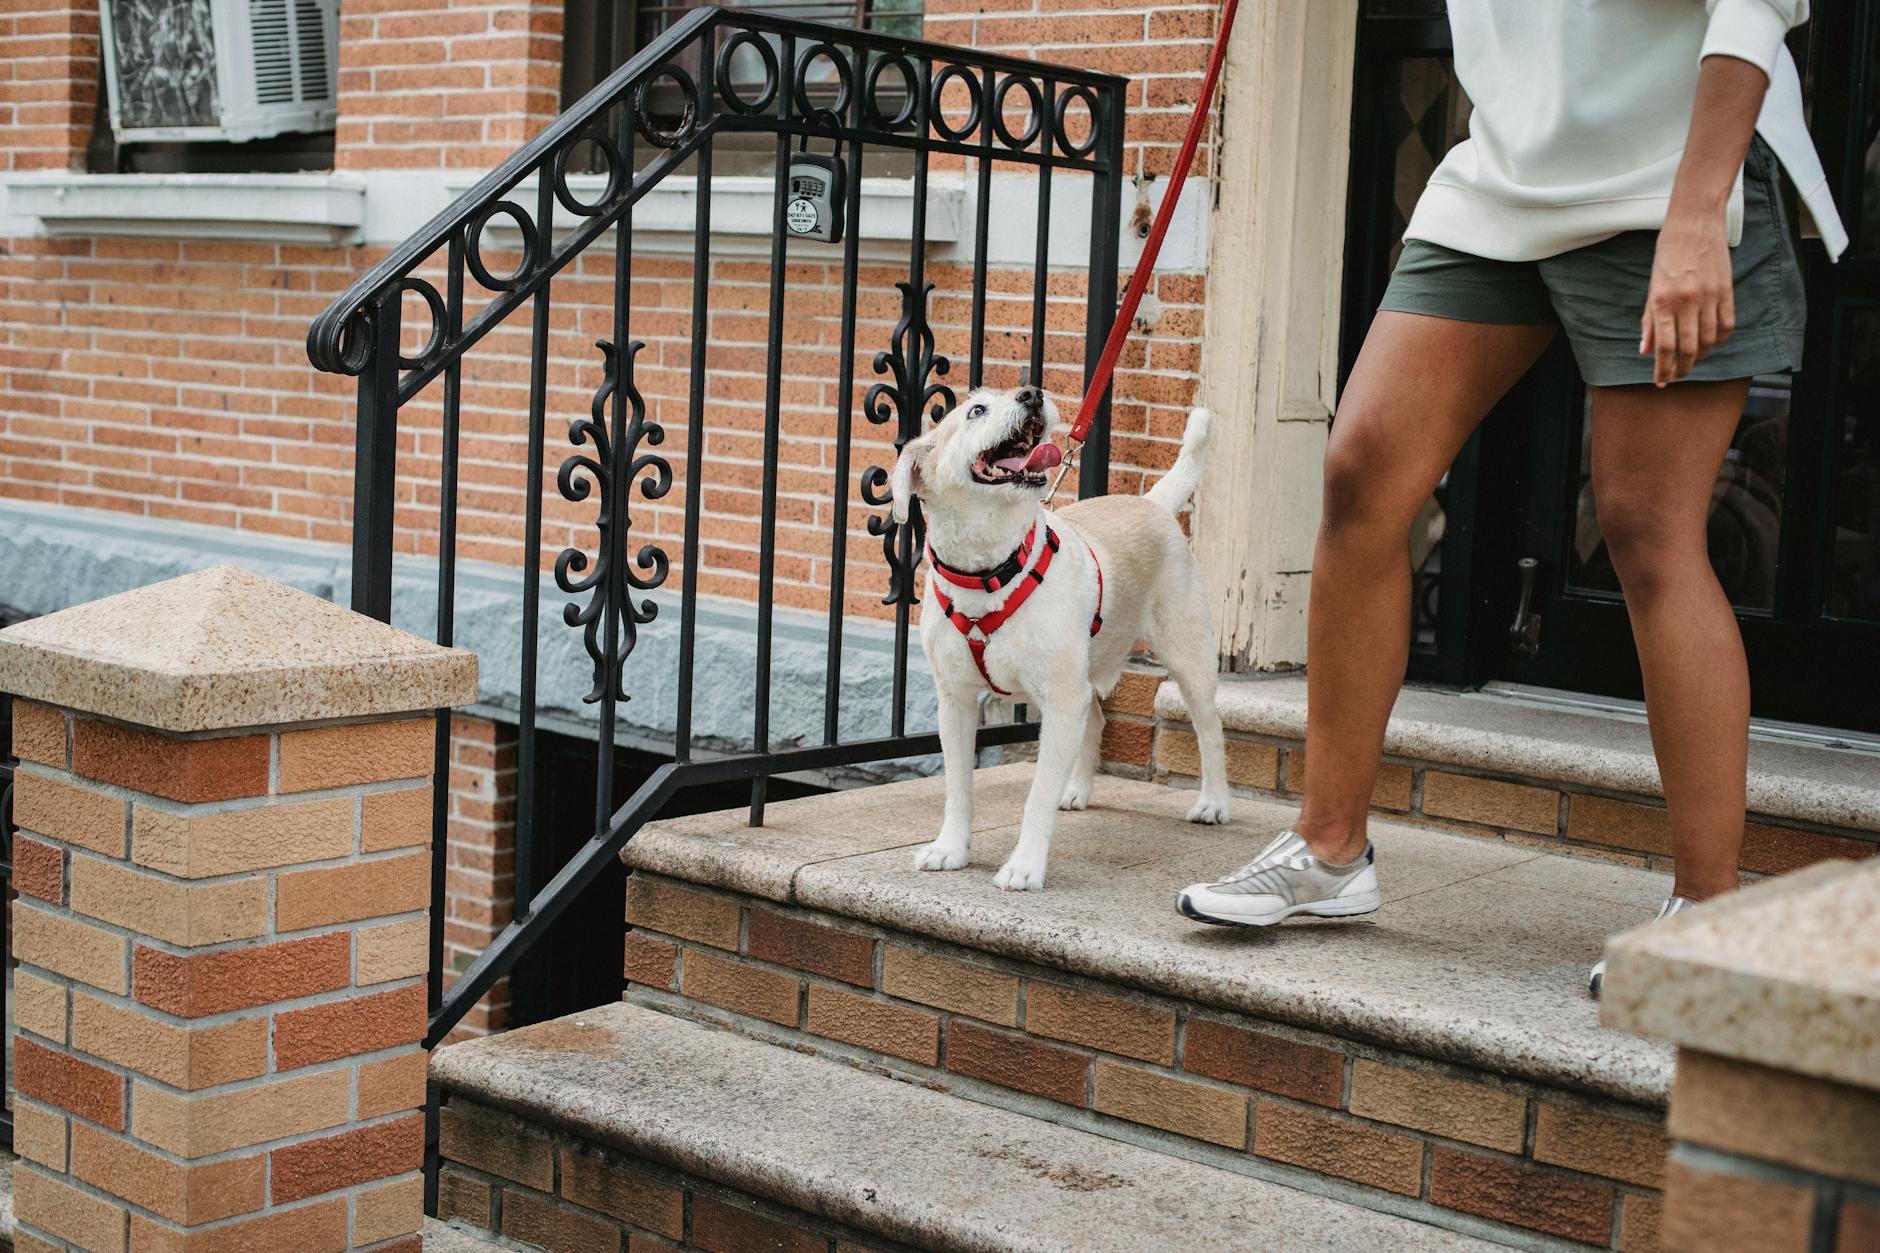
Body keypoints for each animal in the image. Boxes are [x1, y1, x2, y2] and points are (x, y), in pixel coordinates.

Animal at [894, 385, 1233, 884]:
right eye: (977, 410)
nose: (1032, 394)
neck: (992, 571)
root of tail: (1152, 503)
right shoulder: (955, 702)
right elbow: (957, 787)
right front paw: (950, 848)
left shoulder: (1059, 698)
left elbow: (1035, 798)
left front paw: (1025, 866)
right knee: (1095, 718)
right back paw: (1073, 789)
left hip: (1189, 659)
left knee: (1210, 729)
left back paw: (1213, 802)